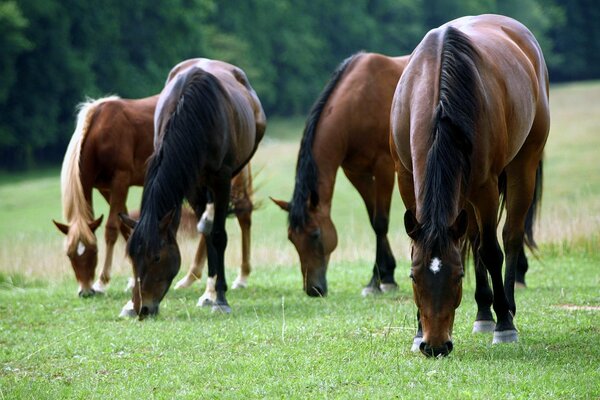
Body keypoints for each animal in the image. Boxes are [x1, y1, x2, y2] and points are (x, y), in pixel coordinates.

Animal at [53, 95, 255, 298]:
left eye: (94, 250)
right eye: (69, 254)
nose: (85, 291)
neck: (99, 132)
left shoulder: (120, 180)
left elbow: (111, 229)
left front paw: (102, 282)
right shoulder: (105, 188)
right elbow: (126, 226)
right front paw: (133, 278)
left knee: (242, 213)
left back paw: (241, 277)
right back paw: (191, 277)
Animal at [120, 57, 266, 318]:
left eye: (157, 258)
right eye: (132, 258)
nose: (142, 308)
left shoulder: (221, 179)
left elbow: (218, 235)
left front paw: (220, 298)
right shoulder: (191, 184)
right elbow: (207, 234)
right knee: (205, 228)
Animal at [270, 52, 408, 296]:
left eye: (315, 234)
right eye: (291, 238)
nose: (313, 290)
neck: (359, 103)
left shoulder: (383, 168)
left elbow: (381, 222)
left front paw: (381, 281)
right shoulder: (357, 173)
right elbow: (373, 220)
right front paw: (383, 275)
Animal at [390, 13, 548, 356]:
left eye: (458, 275)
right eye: (413, 276)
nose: (435, 346)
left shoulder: (485, 187)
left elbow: (491, 251)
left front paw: (504, 325)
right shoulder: (406, 178)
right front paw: (417, 332)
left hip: (522, 166)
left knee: (510, 236)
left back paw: (506, 309)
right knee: (473, 239)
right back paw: (483, 313)